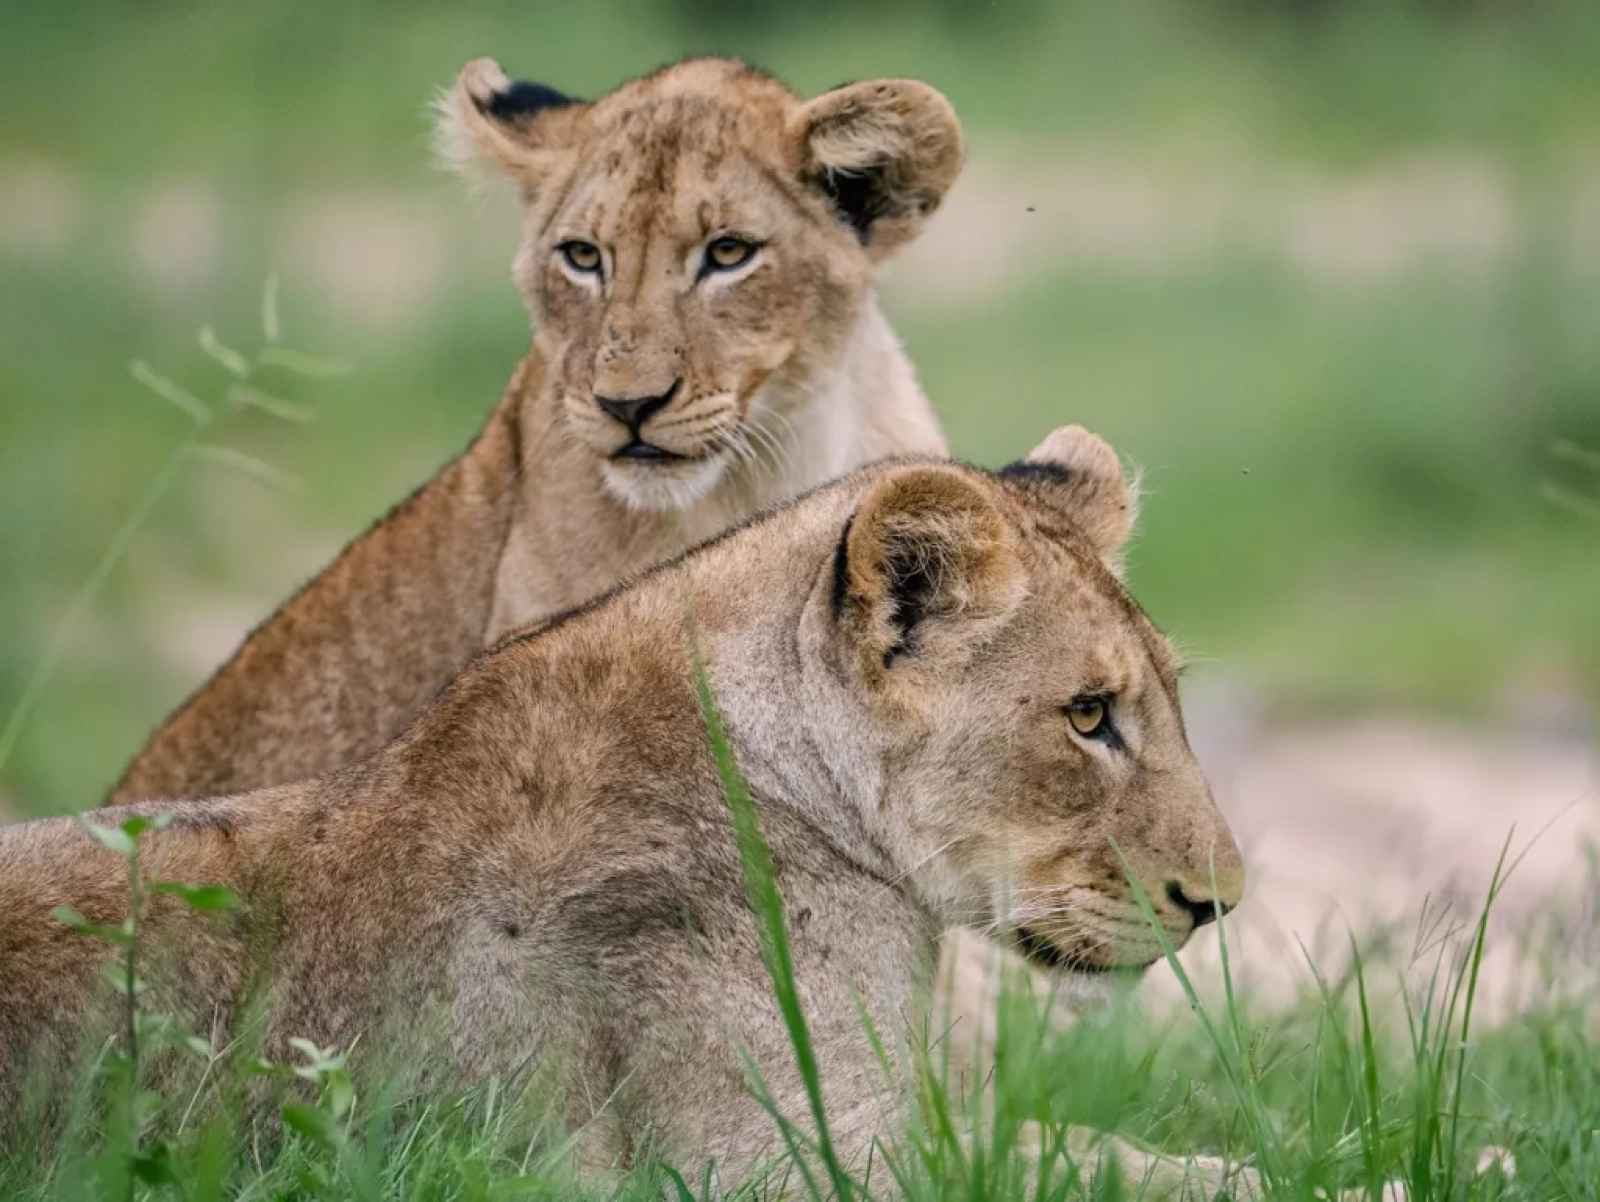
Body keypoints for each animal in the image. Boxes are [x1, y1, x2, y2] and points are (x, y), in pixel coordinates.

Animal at [4, 426, 1255, 1194]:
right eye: (1087, 714)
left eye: (1162, 700)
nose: (1221, 901)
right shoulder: (771, 1160)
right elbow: (1076, 1165)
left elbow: (1086, 1144)